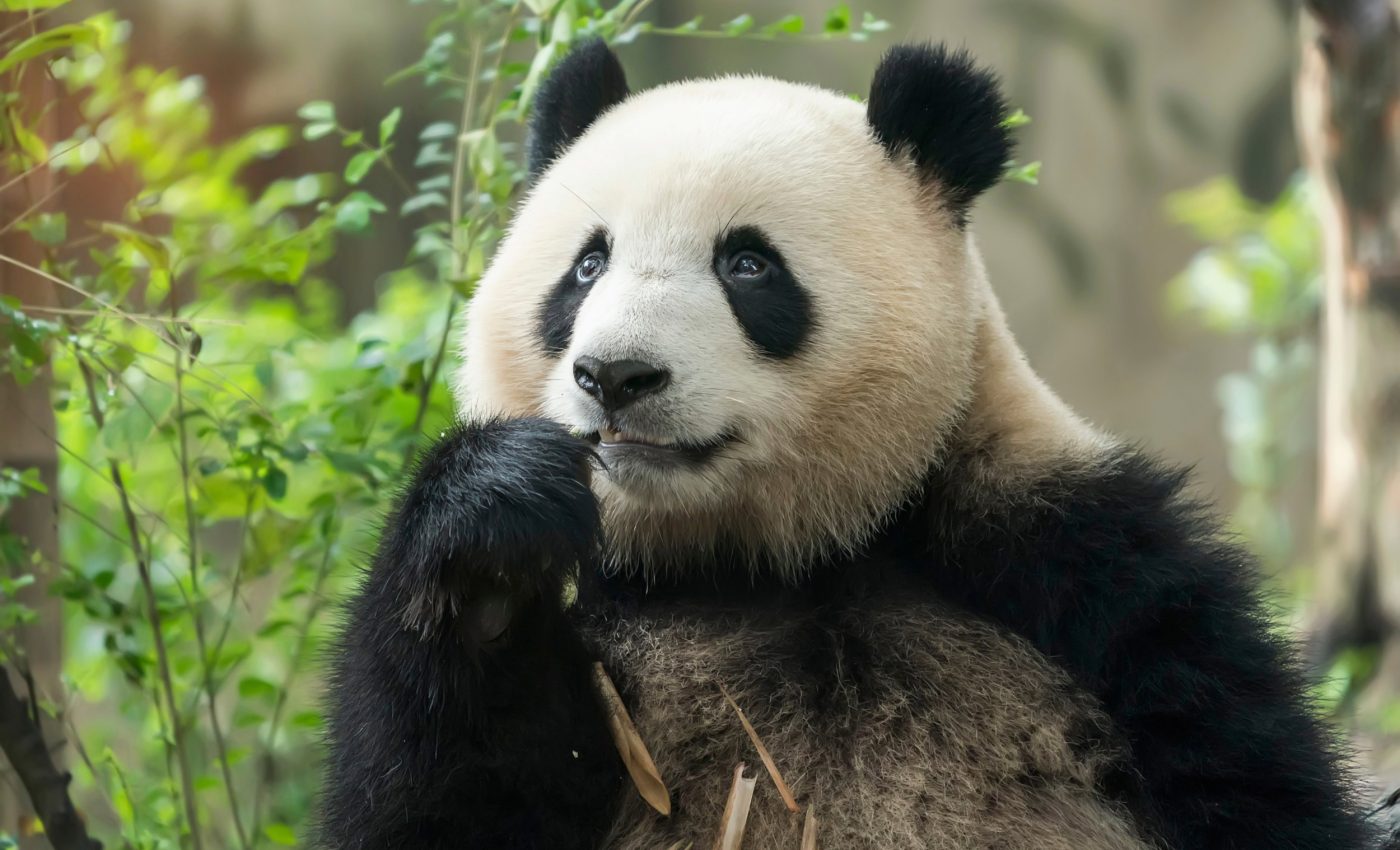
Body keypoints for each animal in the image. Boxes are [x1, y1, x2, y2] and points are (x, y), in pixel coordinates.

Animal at [317, 40, 1380, 850]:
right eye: (586, 266)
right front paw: (497, 539)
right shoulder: (605, 629)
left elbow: (1248, 778)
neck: (770, 559)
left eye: (748, 265)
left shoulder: (1078, 566)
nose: (615, 377)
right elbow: (437, 806)